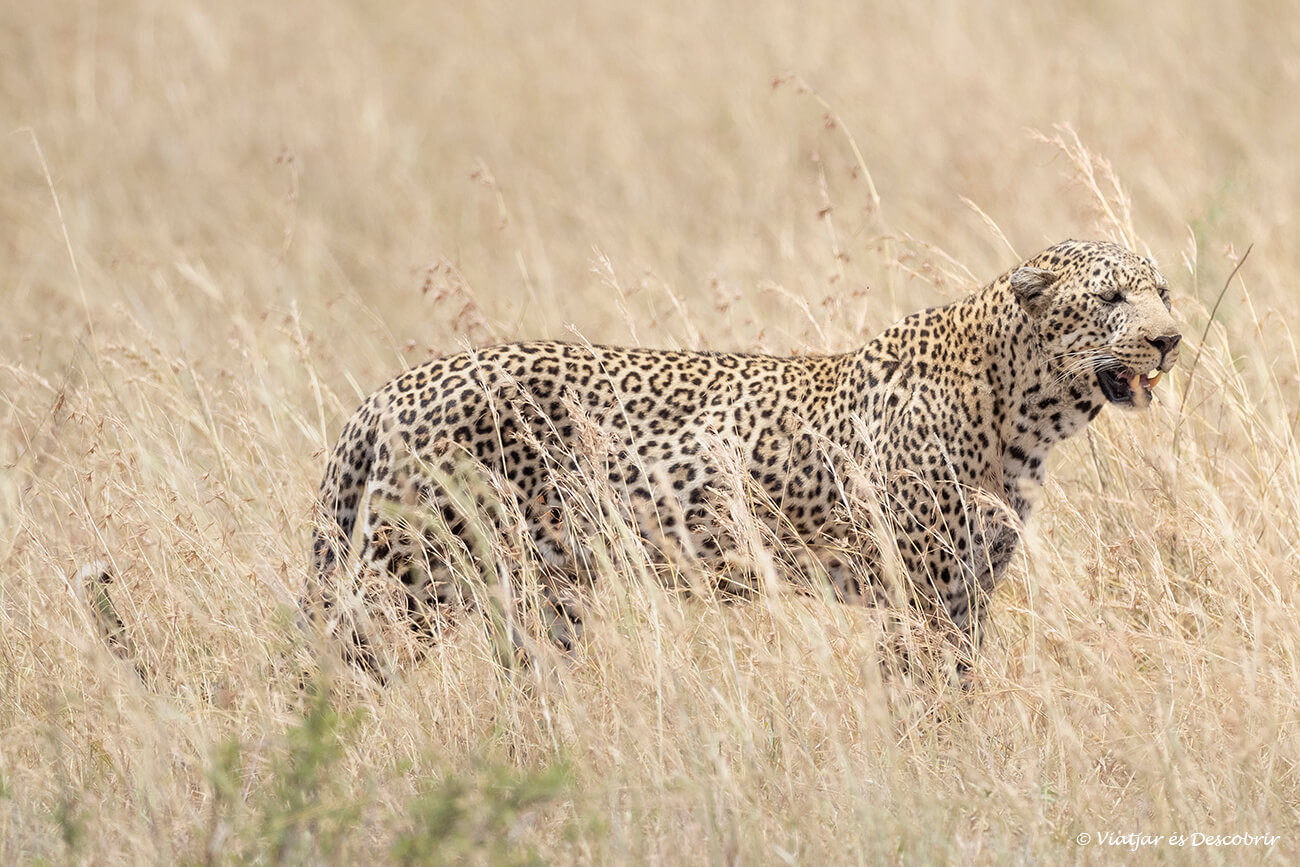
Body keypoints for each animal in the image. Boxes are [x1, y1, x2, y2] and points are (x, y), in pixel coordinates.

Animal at [306, 239, 1180, 679]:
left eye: (1164, 291)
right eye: (1111, 299)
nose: (1170, 339)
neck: (1025, 413)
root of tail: (395, 388)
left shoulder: (968, 593)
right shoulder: (922, 594)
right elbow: (922, 696)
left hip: (544, 586)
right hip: (417, 572)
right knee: (334, 664)